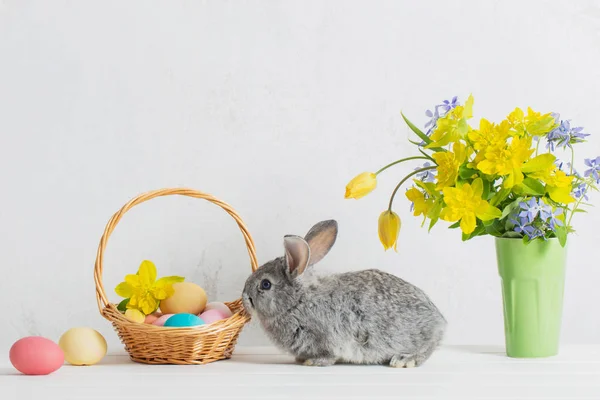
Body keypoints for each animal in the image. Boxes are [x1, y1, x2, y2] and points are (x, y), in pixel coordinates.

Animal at [243, 220, 446, 368]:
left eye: (266, 284)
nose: (245, 298)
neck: (297, 302)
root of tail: (440, 321)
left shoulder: (327, 338)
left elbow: (329, 355)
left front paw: (313, 362)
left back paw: (404, 360)